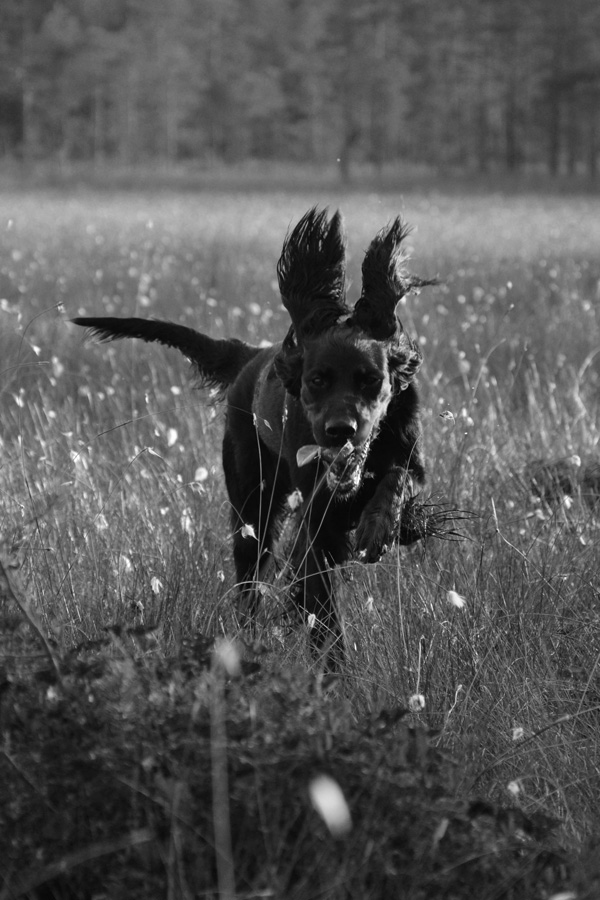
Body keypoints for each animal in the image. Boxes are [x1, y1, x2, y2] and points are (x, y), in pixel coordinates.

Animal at [72, 209, 436, 660]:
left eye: (370, 379)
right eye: (317, 380)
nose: (339, 431)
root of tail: (250, 355)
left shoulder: (410, 461)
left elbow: (400, 479)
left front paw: (380, 524)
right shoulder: (318, 525)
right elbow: (323, 614)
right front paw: (332, 668)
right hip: (253, 507)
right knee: (249, 586)